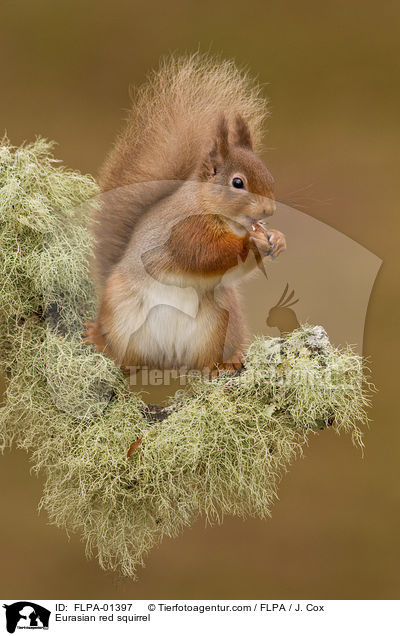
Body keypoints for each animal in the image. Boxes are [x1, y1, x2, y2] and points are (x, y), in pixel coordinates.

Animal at [83, 54, 284, 376]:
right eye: (237, 183)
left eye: (269, 176)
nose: (269, 211)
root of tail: (169, 359)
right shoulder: (183, 232)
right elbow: (203, 254)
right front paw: (252, 243)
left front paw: (277, 239)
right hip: (121, 314)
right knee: (125, 356)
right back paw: (101, 343)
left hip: (219, 321)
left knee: (205, 360)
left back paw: (226, 362)